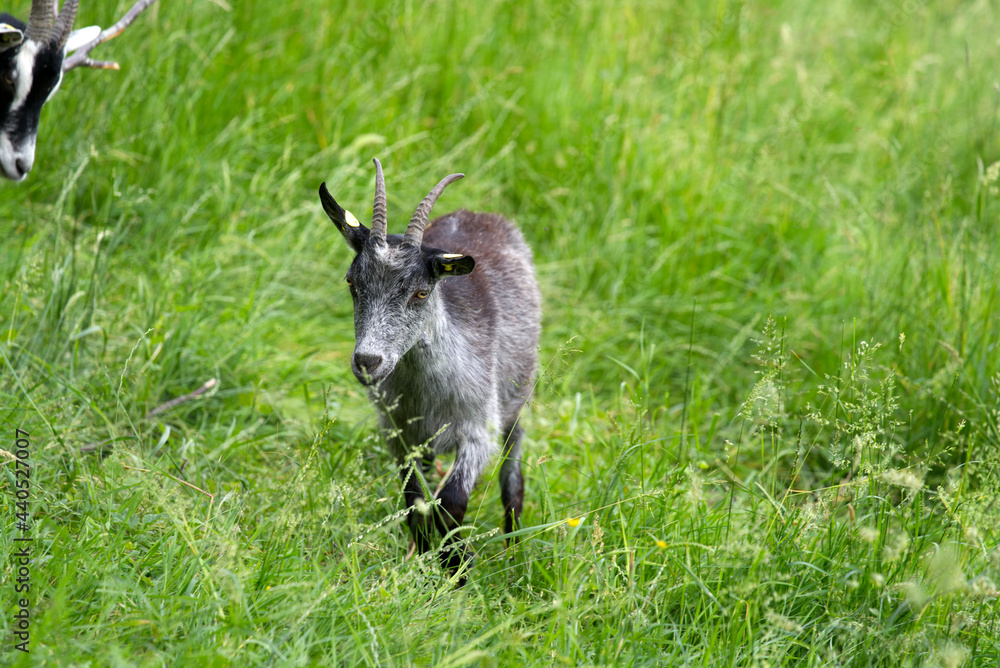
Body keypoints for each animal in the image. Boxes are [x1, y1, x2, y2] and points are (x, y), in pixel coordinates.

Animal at [318, 159, 540, 580]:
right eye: (352, 282)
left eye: (420, 292)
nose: (368, 362)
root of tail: (478, 214)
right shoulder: (400, 435)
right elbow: (415, 503)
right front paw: (424, 561)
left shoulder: (478, 430)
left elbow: (450, 503)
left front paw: (457, 568)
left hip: (518, 398)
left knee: (513, 474)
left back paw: (515, 550)